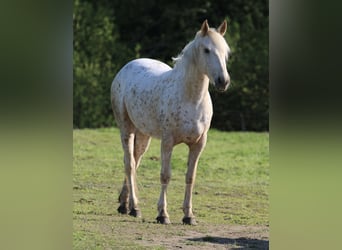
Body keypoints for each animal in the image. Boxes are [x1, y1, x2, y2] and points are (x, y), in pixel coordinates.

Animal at [111, 20, 231, 226]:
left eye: (226, 52)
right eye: (207, 50)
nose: (223, 81)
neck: (191, 99)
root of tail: (125, 68)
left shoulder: (199, 144)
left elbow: (190, 177)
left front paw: (189, 216)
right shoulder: (168, 142)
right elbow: (165, 175)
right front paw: (162, 214)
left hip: (143, 135)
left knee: (135, 161)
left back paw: (124, 205)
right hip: (126, 129)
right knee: (129, 164)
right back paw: (135, 208)